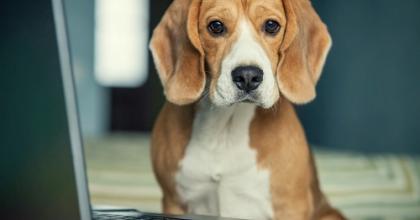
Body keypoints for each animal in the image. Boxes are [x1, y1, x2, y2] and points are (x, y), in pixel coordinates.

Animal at [150, 0, 344, 220]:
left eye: (271, 25)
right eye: (216, 26)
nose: (248, 76)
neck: (226, 126)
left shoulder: (290, 206)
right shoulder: (174, 203)